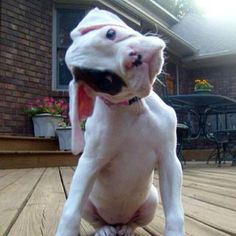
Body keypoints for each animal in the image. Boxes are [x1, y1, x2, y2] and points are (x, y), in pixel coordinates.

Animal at [55, 8, 184, 236]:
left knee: (134, 221)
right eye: (108, 81)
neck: (132, 107)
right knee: (96, 219)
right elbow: (71, 211)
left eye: (111, 33)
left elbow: (175, 212)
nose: (133, 57)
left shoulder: (169, 160)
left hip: (151, 200)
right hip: (89, 203)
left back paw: (126, 227)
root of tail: (117, 220)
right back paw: (105, 228)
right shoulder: (89, 163)